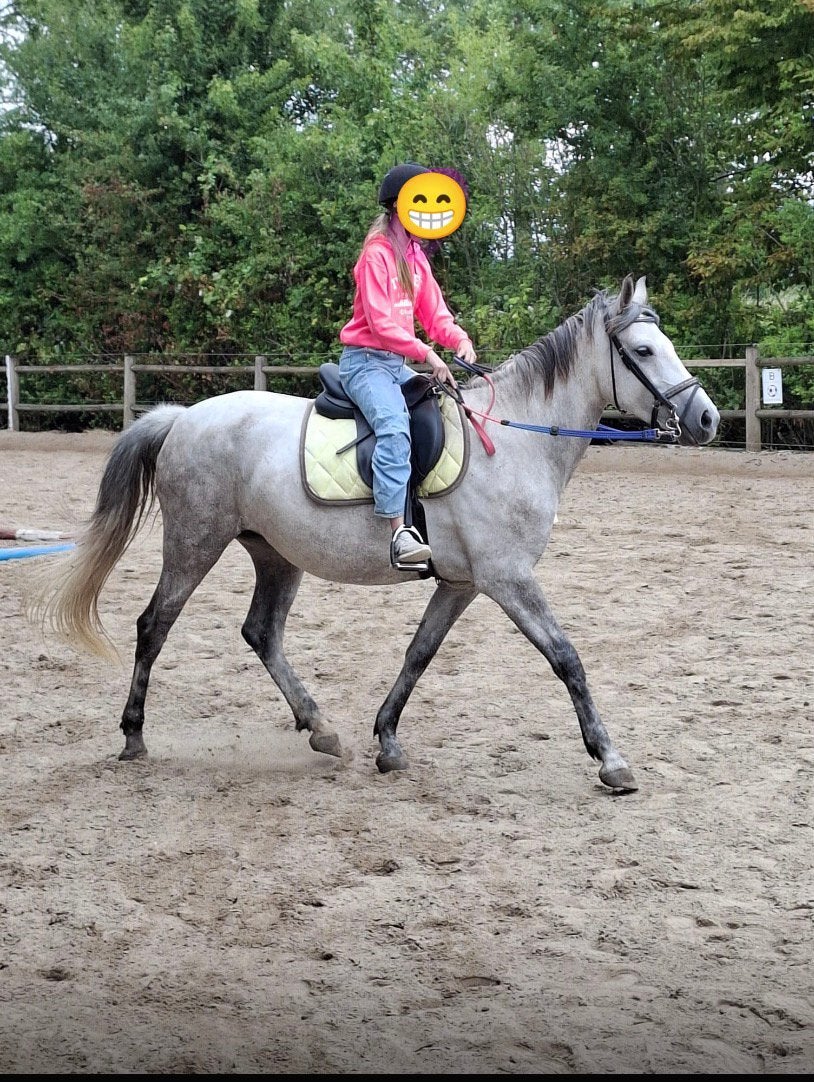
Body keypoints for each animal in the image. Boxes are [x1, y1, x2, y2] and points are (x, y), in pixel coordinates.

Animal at [30, 274, 719, 793]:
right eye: (645, 351)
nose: (707, 418)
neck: (517, 441)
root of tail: (182, 419)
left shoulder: (463, 584)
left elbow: (419, 653)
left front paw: (387, 740)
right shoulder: (507, 578)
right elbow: (566, 658)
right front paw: (611, 760)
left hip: (275, 554)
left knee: (262, 633)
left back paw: (321, 729)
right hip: (195, 543)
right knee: (155, 625)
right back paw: (133, 735)